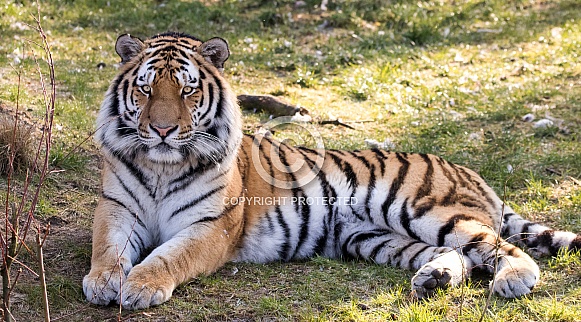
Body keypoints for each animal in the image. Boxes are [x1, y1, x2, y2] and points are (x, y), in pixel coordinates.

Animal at [82, 32, 580, 310]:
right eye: (146, 89)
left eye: (187, 91)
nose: (163, 130)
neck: (161, 166)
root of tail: (473, 173)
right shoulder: (117, 208)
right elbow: (107, 249)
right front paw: (103, 282)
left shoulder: (211, 226)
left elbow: (169, 257)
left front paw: (140, 287)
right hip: (374, 238)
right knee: (461, 255)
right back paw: (433, 279)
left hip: (425, 210)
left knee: (498, 247)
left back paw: (513, 280)